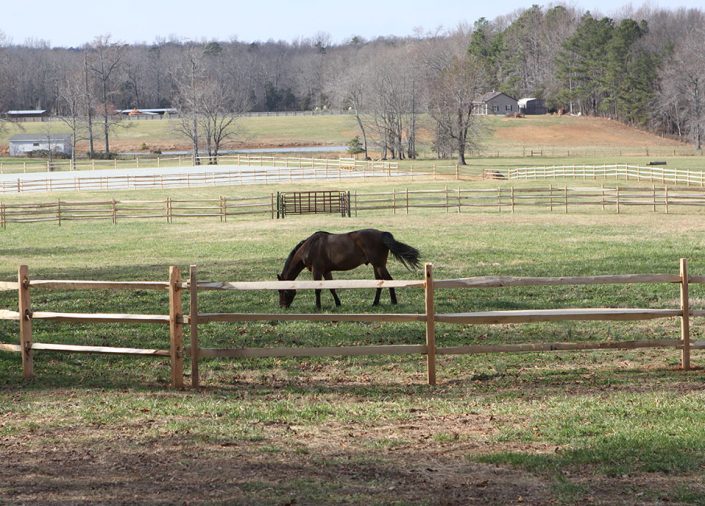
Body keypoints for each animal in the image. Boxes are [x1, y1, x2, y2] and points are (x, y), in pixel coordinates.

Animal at [276, 229, 418, 308]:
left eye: (282, 290)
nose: (282, 306)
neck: (310, 246)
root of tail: (382, 234)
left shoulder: (317, 270)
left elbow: (318, 289)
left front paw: (318, 306)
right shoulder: (326, 271)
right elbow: (332, 288)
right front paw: (338, 303)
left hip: (379, 265)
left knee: (389, 280)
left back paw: (393, 301)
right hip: (376, 266)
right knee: (379, 282)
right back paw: (375, 303)